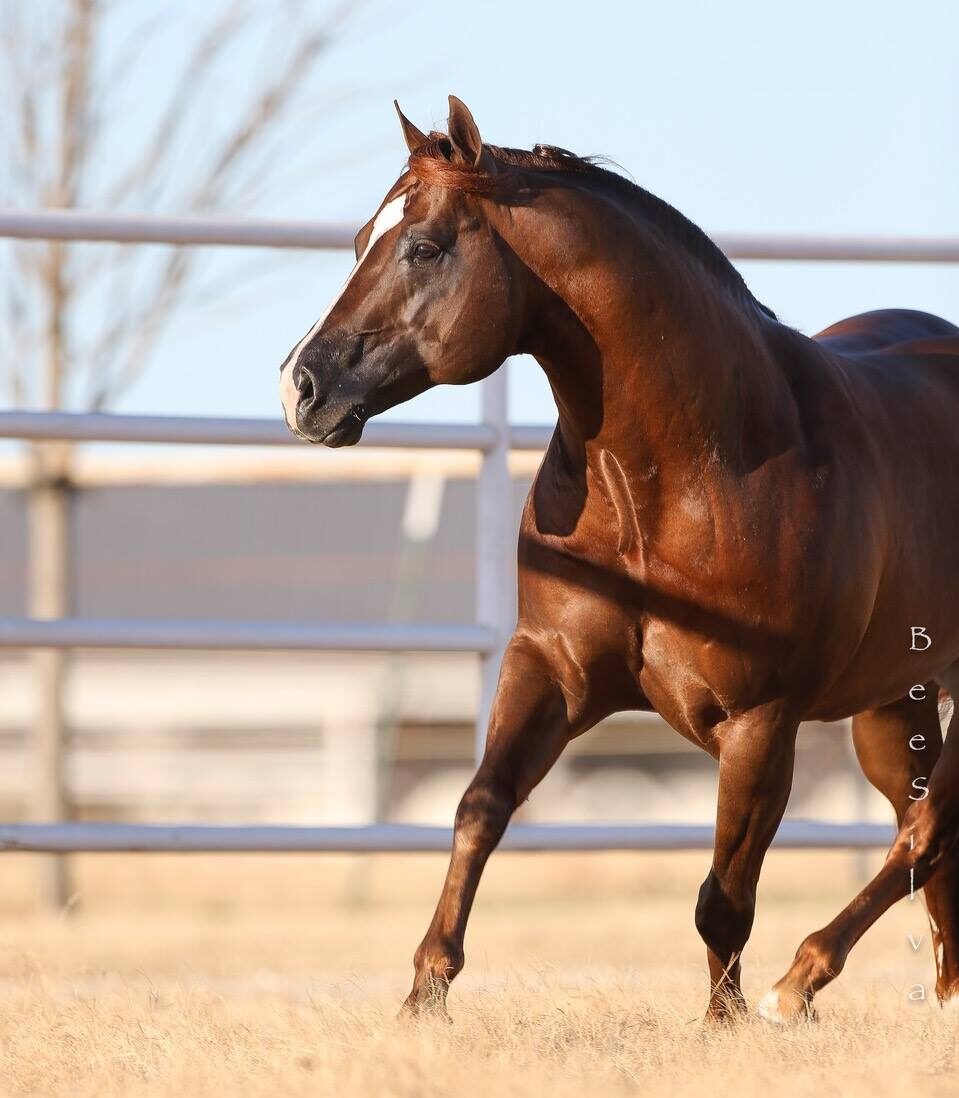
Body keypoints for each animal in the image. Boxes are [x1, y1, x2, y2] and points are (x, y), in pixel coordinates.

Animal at [278, 95, 959, 1024]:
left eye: (424, 246)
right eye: (359, 239)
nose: (299, 387)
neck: (684, 470)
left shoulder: (759, 720)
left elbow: (723, 896)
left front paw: (725, 1023)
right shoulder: (548, 669)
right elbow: (478, 808)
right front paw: (425, 997)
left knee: (928, 829)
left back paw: (798, 982)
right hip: (894, 704)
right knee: (927, 832)